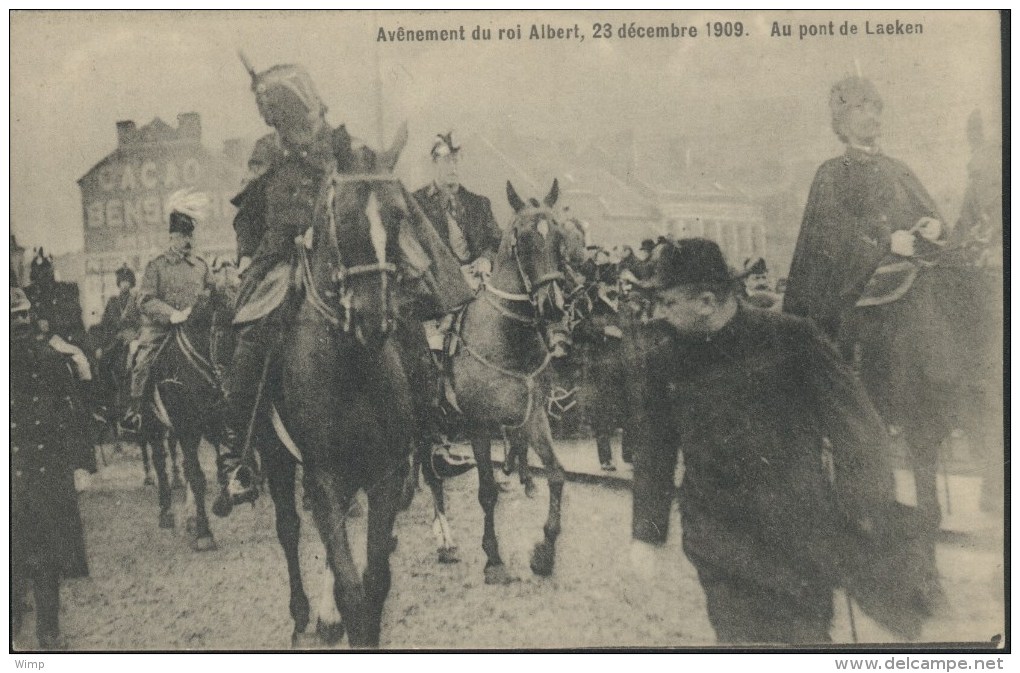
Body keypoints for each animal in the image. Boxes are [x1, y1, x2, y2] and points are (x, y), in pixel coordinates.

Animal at [139, 289, 233, 550]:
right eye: (222, 332)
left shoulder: (217, 424)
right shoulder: (186, 428)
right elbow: (197, 477)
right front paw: (204, 533)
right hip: (153, 425)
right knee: (160, 462)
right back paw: (166, 512)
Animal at [259, 130, 418, 648]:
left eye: (400, 215)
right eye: (345, 217)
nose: (375, 318)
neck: (352, 367)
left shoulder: (384, 473)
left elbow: (374, 581)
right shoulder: (323, 476)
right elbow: (352, 587)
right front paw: (338, 614)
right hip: (276, 455)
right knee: (289, 530)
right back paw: (302, 613)